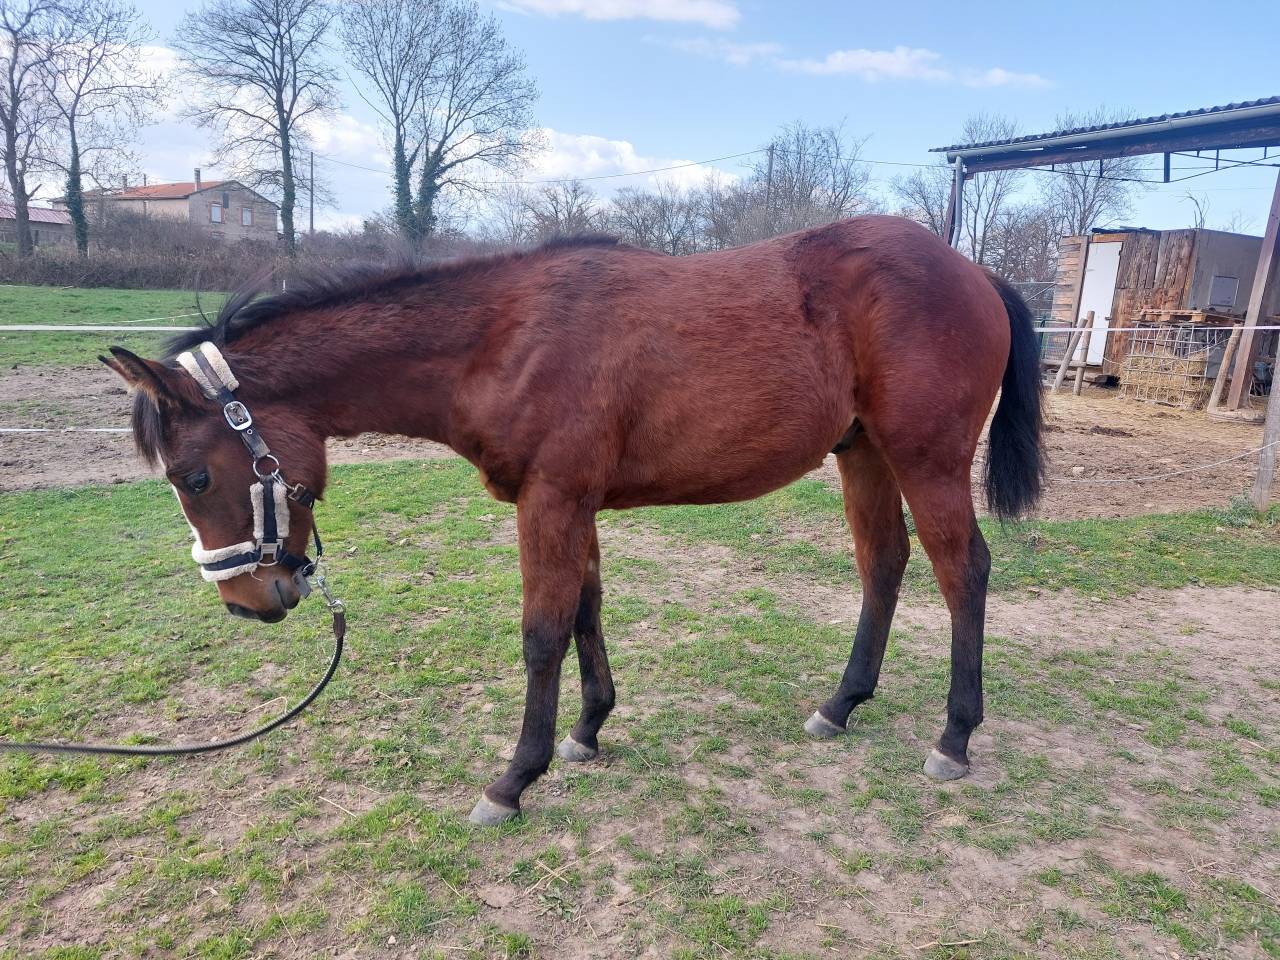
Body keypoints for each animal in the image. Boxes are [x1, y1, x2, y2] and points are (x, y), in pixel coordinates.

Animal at [101, 215, 1044, 826]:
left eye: (193, 474)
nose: (246, 603)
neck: (501, 337)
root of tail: (972, 270)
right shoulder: (575, 503)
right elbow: (587, 610)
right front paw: (589, 730)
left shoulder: (549, 502)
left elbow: (542, 632)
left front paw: (515, 778)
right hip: (864, 455)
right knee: (884, 564)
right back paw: (841, 704)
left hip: (924, 460)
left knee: (964, 571)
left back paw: (955, 736)